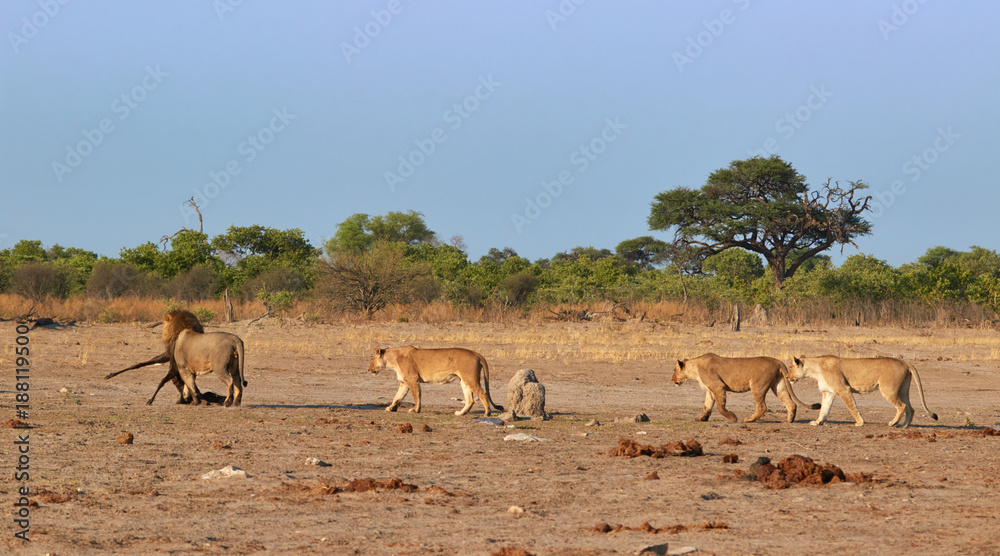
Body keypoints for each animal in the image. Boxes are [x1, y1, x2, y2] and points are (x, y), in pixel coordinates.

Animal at [368, 346, 504, 416]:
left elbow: (416, 396)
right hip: (463, 381)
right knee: (470, 400)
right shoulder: (404, 382)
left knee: (483, 394)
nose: (369, 369)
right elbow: (397, 397)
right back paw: (460, 413)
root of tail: (476, 354)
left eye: (371, 359)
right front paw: (390, 408)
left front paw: (415, 410)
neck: (392, 360)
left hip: (470, 378)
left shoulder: (412, 379)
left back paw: (487, 413)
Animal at [672, 353, 820, 423]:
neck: (694, 368)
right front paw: (701, 419)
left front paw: (733, 418)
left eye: (674, 370)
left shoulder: (718, 386)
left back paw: (749, 420)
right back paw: (788, 421)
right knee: (791, 404)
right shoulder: (710, 390)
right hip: (779, 386)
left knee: (762, 407)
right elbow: (707, 406)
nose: (672, 379)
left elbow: (720, 407)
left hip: (757, 386)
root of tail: (778, 361)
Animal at [788, 355, 938, 427]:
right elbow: (824, 409)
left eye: (790, 368)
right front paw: (817, 422)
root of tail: (905, 362)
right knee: (910, 408)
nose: (788, 377)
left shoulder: (844, 389)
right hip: (903, 390)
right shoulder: (828, 393)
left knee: (902, 406)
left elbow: (852, 407)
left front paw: (860, 422)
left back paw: (892, 423)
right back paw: (904, 425)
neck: (814, 370)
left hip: (888, 389)